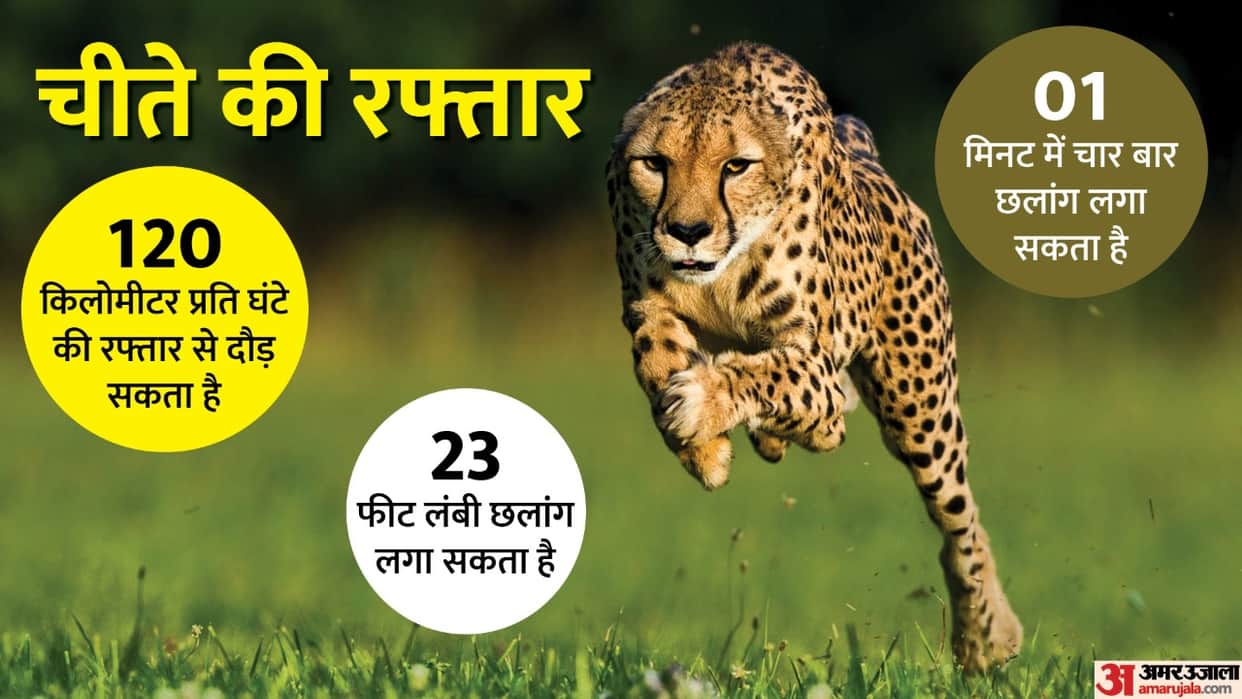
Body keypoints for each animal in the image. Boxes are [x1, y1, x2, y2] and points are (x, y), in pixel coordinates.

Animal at [605, 41, 1022, 672]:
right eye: (655, 163)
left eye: (736, 166)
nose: (687, 230)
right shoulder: (646, 303)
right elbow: (655, 354)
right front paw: (703, 450)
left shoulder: (814, 362)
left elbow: (772, 375)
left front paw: (701, 404)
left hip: (919, 411)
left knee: (960, 520)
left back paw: (985, 637)